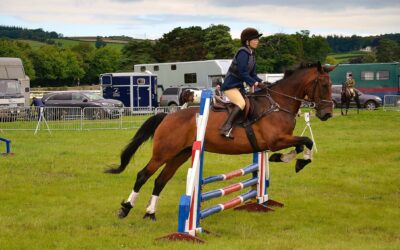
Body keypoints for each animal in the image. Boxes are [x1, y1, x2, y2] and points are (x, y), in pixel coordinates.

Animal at [105, 62, 334, 221]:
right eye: (324, 85)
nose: (327, 114)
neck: (278, 104)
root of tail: (167, 116)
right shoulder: (275, 141)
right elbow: (306, 141)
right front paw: (296, 161)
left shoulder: (279, 141)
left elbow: (302, 143)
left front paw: (287, 159)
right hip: (164, 152)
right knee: (143, 175)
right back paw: (125, 208)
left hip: (181, 154)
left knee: (161, 180)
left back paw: (150, 213)